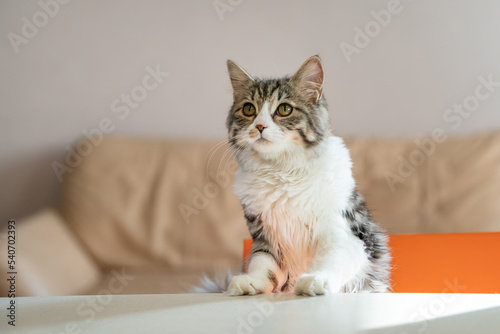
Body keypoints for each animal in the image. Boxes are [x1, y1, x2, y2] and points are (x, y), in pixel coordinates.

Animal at [199, 56, 390, 296]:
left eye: (284, 109)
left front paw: (316, 279)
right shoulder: (265, 236)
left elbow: (329, 259)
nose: (260, 126)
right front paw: (251, 281)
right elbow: (263, 263)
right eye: (249, 109)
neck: (281, 170)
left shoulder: (347, 235)